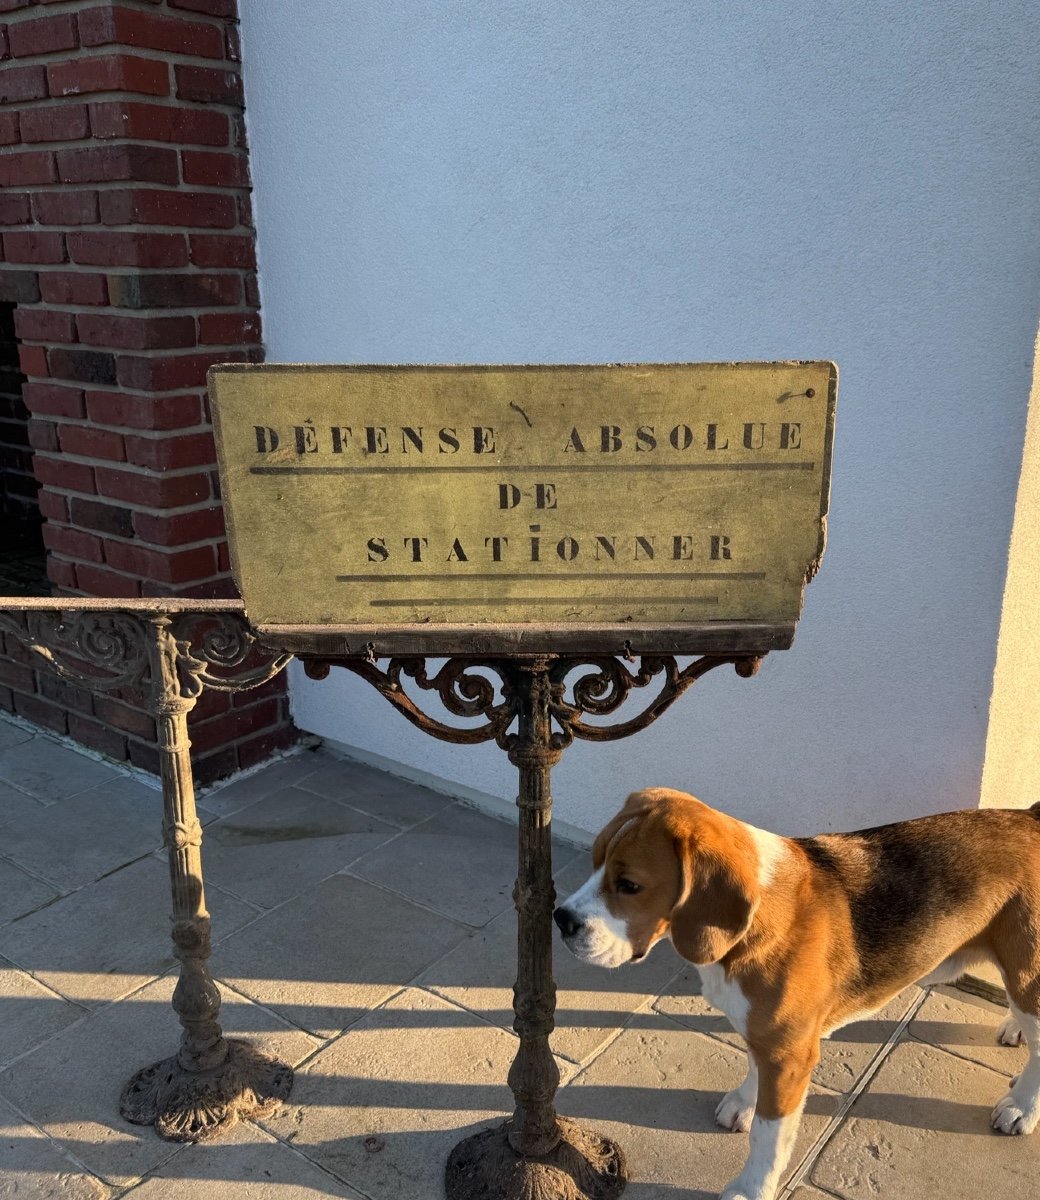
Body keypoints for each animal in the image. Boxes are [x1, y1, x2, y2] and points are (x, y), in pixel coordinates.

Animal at [556, 787, 1040, 1200]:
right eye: (594, 862)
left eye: (630, 885)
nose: (561, 919)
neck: (756, 923)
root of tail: (1030, 818)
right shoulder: (768, 1038)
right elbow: (754, 1067)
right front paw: (745, 1100)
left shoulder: (790, 1056)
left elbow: (768, 1137)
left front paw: (751, 1189)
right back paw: (1014, 1029)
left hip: (1027, 974)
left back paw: (1021, 1106)